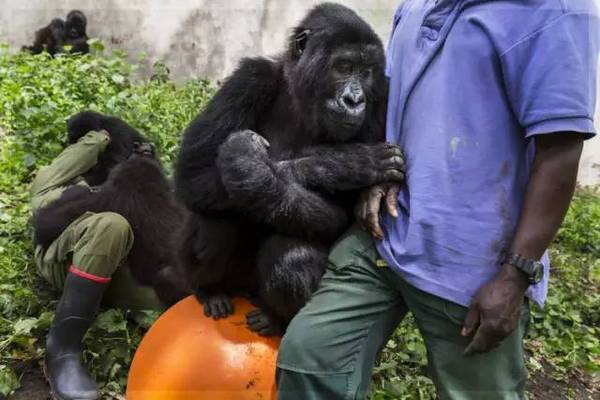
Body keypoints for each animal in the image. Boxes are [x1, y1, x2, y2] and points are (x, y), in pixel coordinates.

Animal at [176, 3, 406, 336]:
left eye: (366, 72)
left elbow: (341, 216)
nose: (354, 99)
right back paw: (210, 291)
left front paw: (252, 167)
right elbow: (194, 172)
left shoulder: (381, 102)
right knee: (214, 224)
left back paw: (276, 319)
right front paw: (348, 163)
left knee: (291, 251)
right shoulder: (249, 78)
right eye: (344, 66)